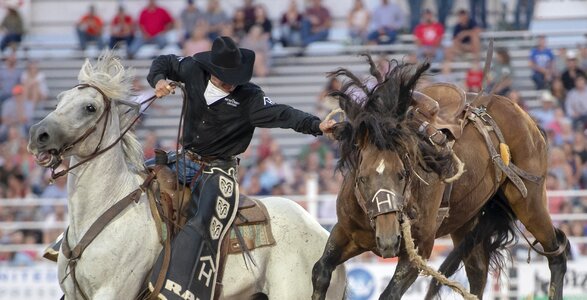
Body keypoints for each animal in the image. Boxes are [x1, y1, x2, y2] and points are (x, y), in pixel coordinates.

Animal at [27, 52, 346, 300]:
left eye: (90, 107)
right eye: (60, 99)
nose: (37, 135)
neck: (110, 205)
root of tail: (323, 234)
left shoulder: (113, 291)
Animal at [312, 56, 568, 300]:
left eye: (402, 175)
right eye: (362, 179)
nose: (388, 240)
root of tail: (523, 116)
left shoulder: (420, 249)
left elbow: (389, 294)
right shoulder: (345, 233)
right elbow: (320, 271)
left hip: (529, 202)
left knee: (557, 252)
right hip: (468, 220)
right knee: (478, 273)